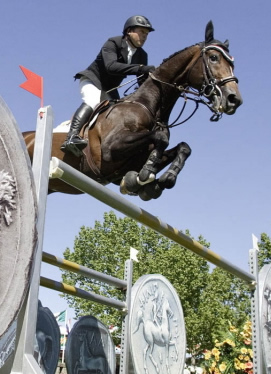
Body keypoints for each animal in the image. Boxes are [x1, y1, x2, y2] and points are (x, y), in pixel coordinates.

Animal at [23, 20, 243, 200]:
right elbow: (161, 138)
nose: (234, 100)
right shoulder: (110, 149)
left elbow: (183, 147)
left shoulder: (132, 162)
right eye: (213, 58)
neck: (150, 107)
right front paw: (147, 174)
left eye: (232, 63)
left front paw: (161, 180)